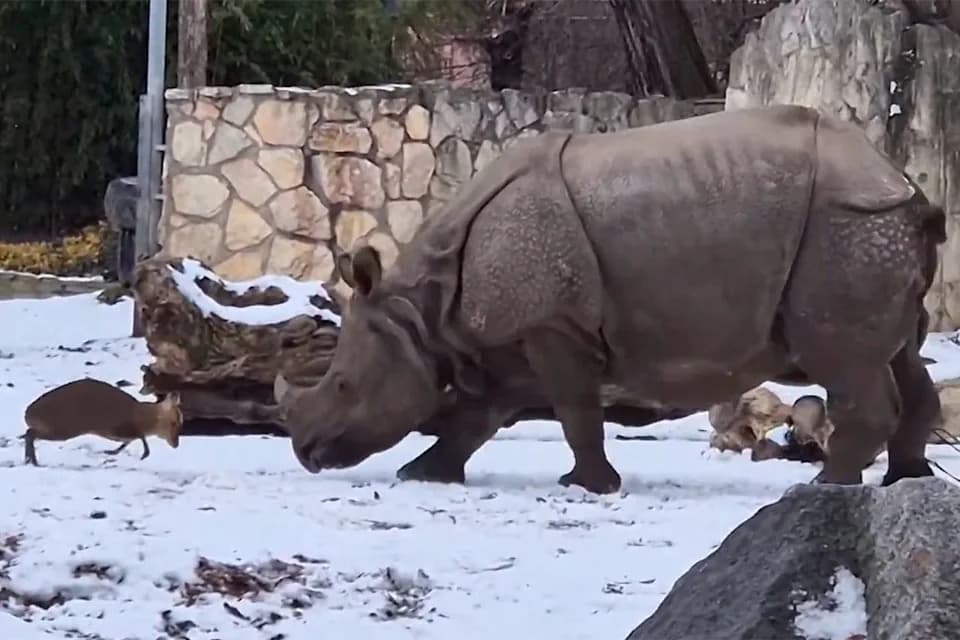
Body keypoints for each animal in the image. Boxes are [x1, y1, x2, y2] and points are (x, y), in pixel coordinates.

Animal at [275, 104, 946, 494]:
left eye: (342, 385)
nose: (305, 454)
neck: (421, 311)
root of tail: (903, 184)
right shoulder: (516, 334)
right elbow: (483, 412)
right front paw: (424, 474)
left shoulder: (553, 325)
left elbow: (576, 411)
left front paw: (588, 486)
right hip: (870, 230)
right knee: (904, 355)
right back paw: (904, 480)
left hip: (848, 226)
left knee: (844, 360)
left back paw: (826, 487)